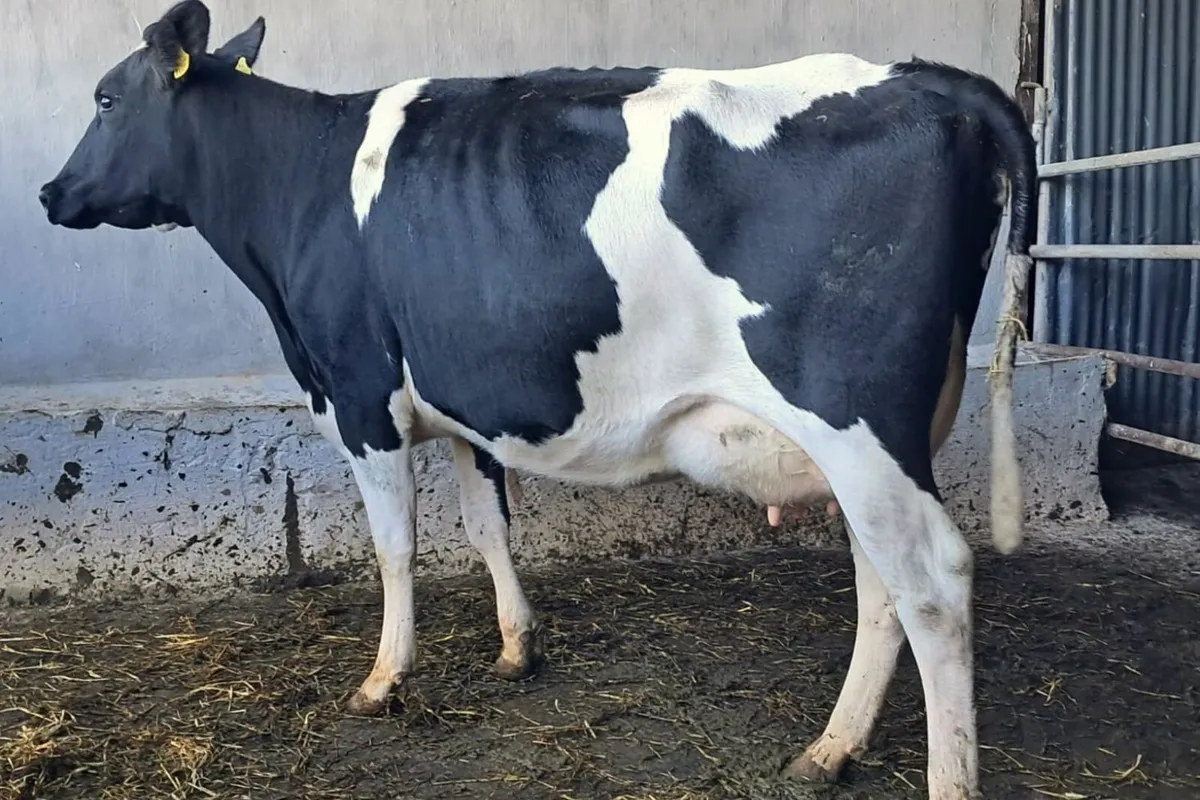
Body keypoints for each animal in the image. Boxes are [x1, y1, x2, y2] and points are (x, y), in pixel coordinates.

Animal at [39, 2, 1036, 798]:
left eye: (104, 100)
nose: (51, 192)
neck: (298, 190)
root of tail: (924, 76)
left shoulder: (359, 393)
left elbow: (396, 549)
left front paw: (383, 679)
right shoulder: (464, 403)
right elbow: (488, 526)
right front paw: (518, 647)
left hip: (854, 421)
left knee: (933, 584)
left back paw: (940, 777)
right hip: (880, 441)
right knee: (883, 582)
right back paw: (831, 749)